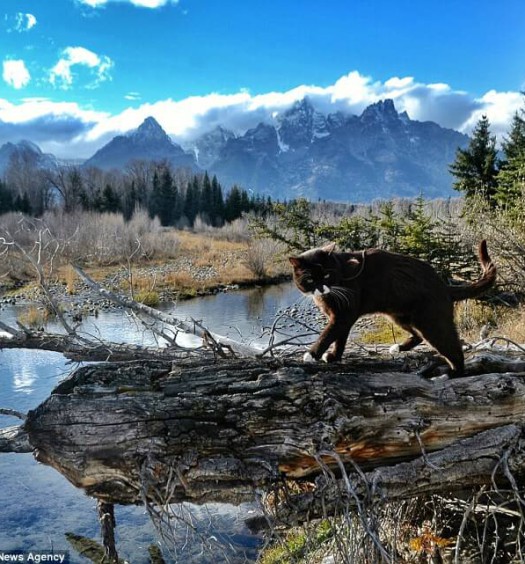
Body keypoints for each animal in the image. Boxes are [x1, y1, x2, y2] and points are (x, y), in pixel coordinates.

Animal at [288, 240, 498, 376]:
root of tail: (444, 286)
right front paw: (334, 356)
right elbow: (340, 338)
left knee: (453, 347)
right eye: (310, 279)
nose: (321, 287)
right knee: (418, 335)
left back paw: (453, 373)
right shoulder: (342, 317)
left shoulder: (344, 313)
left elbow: (329, 334)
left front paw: (311, 355)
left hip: (431, 321)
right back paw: (399, 347)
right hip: (400, 316)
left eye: (326, 275)